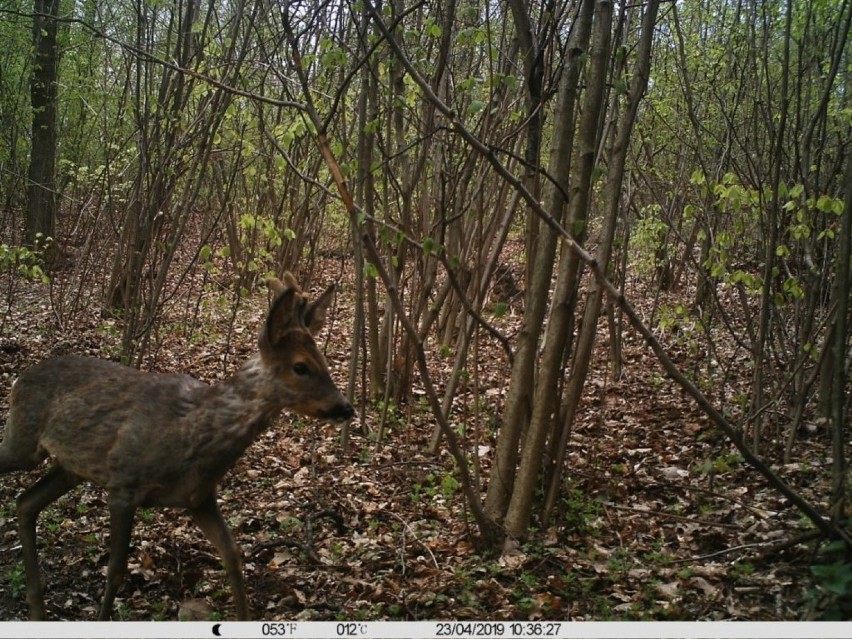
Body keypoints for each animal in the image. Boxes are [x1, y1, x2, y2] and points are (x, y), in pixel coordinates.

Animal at [0, 274, 352, 620]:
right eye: (301, 366)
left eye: (323, 360)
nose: (345, 407)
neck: (192, 437)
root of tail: (20, 378)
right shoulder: (124, 483)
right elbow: (115, 571)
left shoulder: (199, 498)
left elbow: (233, 556)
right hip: (23, 443)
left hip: (70, 468)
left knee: (26, 503)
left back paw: (37, 609)